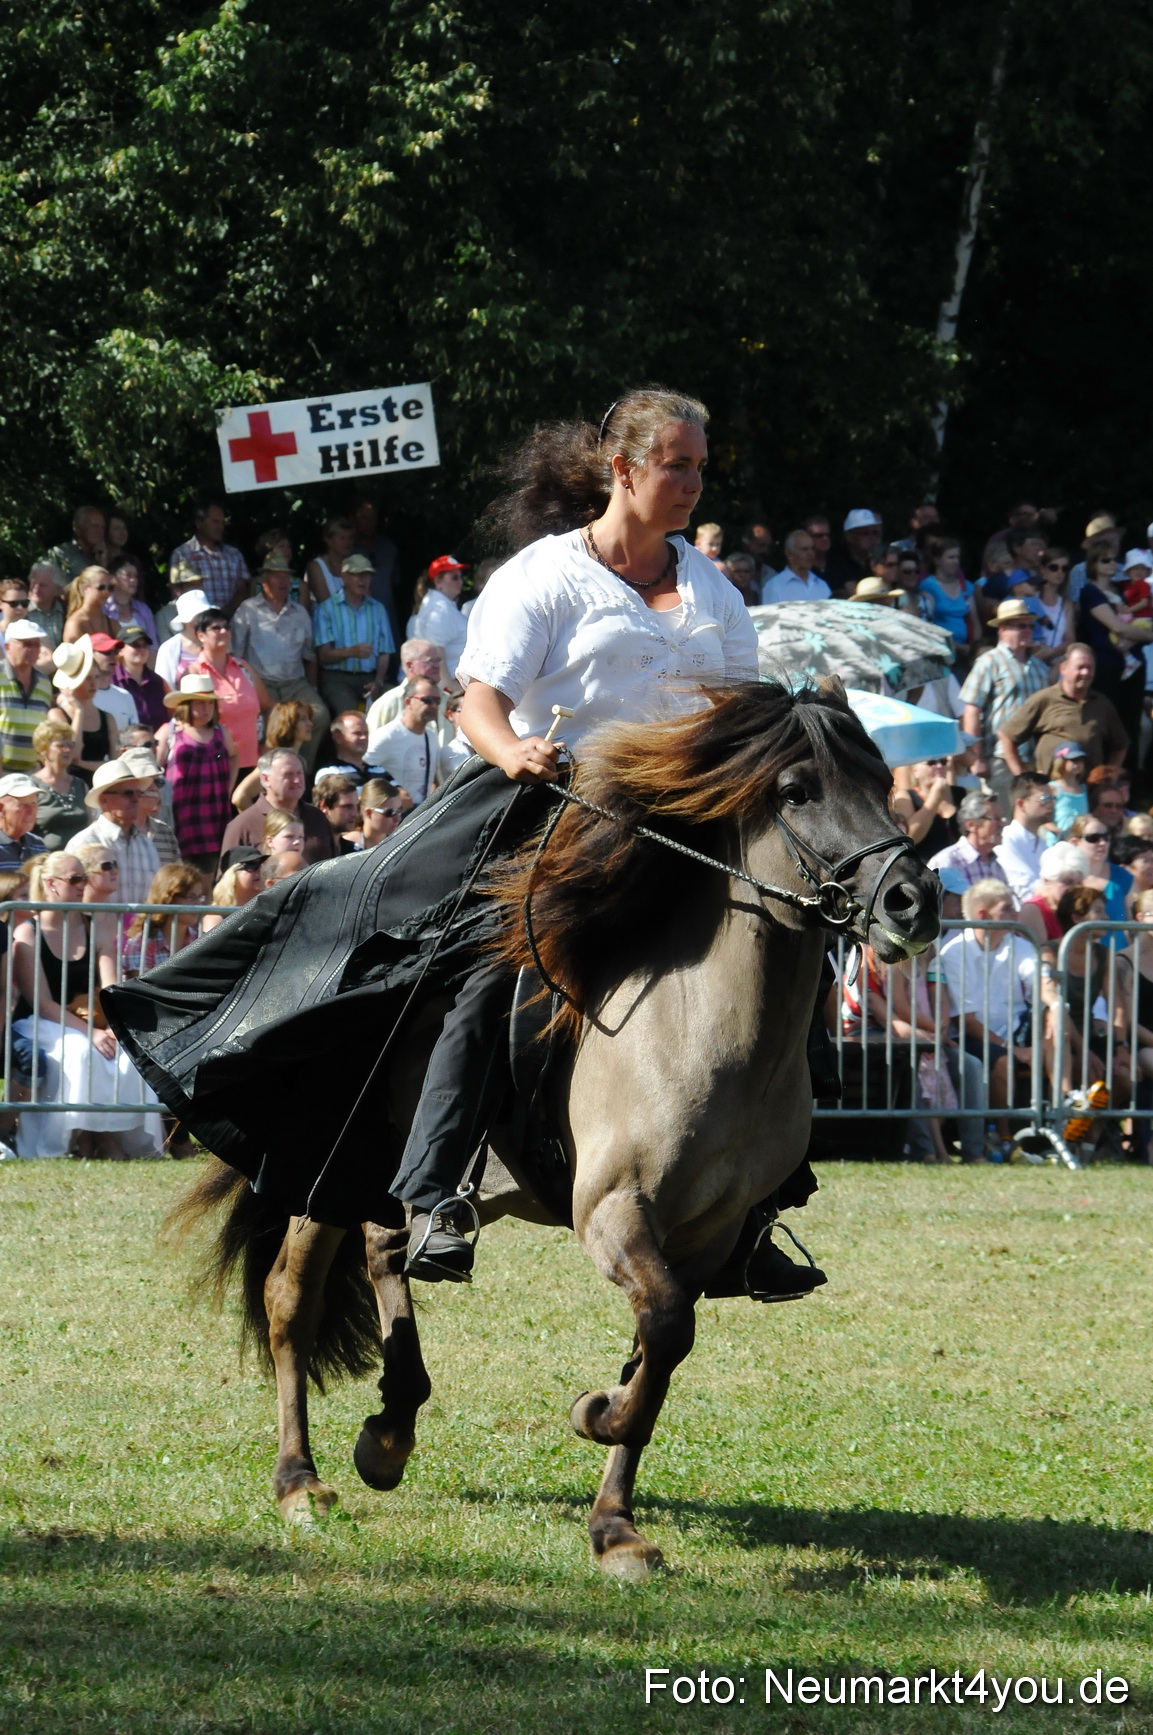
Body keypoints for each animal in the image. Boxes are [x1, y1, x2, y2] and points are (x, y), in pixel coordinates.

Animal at [172, 679, 940, 1577]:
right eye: (795, 792)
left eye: (882, 780)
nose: (912, 900)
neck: (695, 1027)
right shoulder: (611, 1210)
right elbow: (665, 1326)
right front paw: (598, 1416)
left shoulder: (707, 1234)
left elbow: (661, 1347)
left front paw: (614, 1518)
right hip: (321, 1163)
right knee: (290, 1297)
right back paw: (300, 1480)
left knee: (388, 1246)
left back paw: (391, 1427)